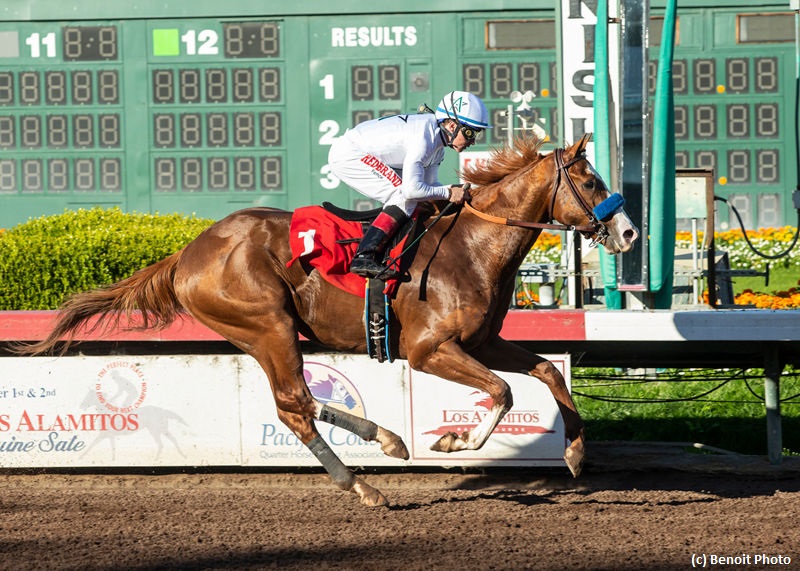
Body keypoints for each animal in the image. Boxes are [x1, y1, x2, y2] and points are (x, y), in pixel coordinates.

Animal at [21, 135, 636, 510]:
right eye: (591, 181)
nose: (628, 232)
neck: (473, 245)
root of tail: (188, 252)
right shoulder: (429, 349)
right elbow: (504, 393)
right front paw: (454, 441)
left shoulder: (483, 341)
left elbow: (546, 373)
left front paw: (575, 453)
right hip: (266, 323)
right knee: (294, 402)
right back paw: (373, 468)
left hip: (263, 334)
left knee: (296, 404)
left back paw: (378, 458)